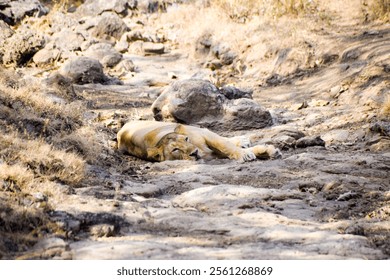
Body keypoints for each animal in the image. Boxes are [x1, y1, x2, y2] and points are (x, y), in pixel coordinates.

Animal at [117, 120, 282, 162]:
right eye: (175, 149)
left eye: (186, 139)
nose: (194, 153)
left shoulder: (205, 135)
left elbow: (226, 145)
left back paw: (242, 140)